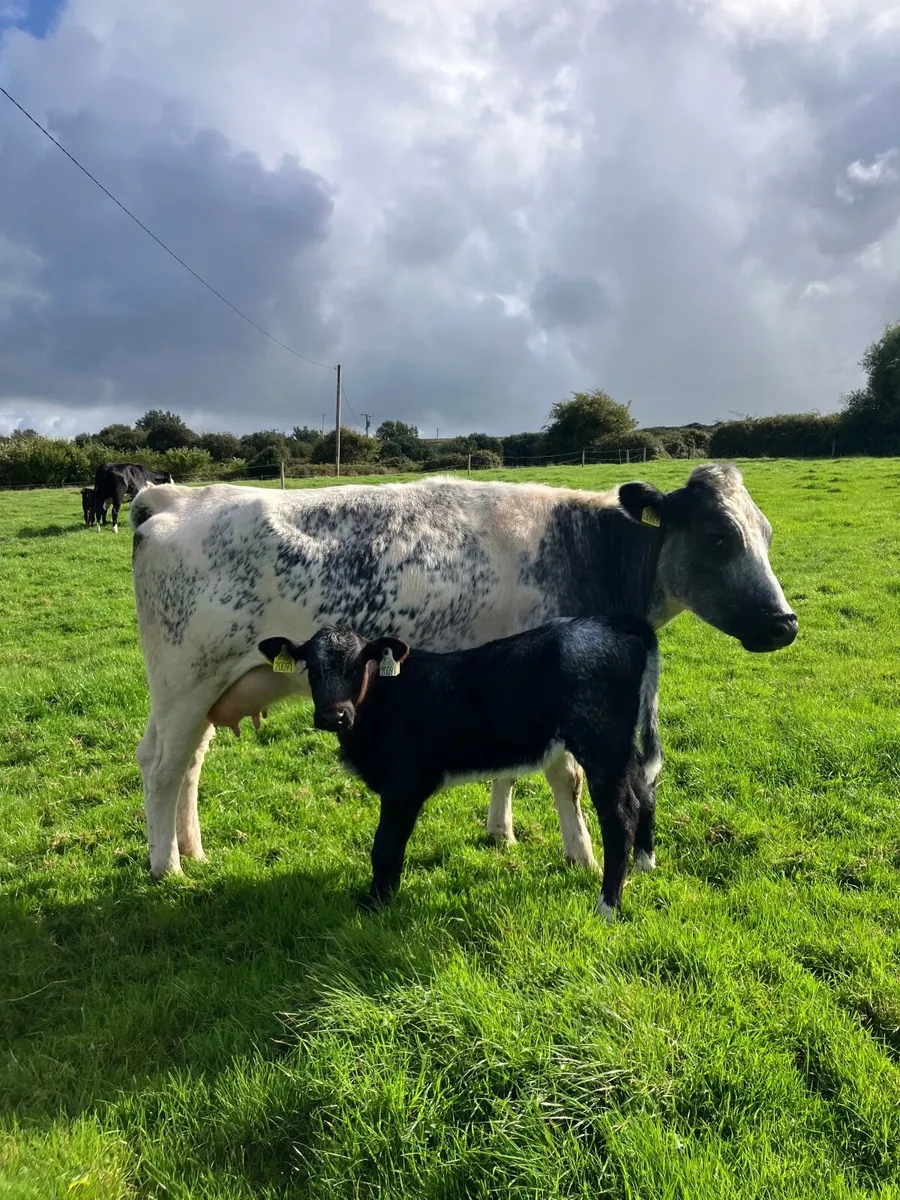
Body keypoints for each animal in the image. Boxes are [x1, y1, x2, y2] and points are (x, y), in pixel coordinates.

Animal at [129, 465, 798, 880]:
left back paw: (194, 849)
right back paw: (167, 866)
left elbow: (510, 766)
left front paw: (501, 832)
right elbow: (567, 778)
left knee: (188, 765)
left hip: (208, 691)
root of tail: (172, 497)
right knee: (161, 768)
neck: (584, 546)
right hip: (184, 681)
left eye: (766, 533)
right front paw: (580, 856)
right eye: (718, 537)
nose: (785, 623)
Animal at [258, 617, 657, 918]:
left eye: (358, 666)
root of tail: (620, 626)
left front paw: (376, 903)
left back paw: (607, 907)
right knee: (644, 787)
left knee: (620, 815)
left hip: (601, 743)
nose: (334, 716)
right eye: (312, 668)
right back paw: (645, 864)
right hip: (623, 744)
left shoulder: (403, 786)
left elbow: (384, 846)